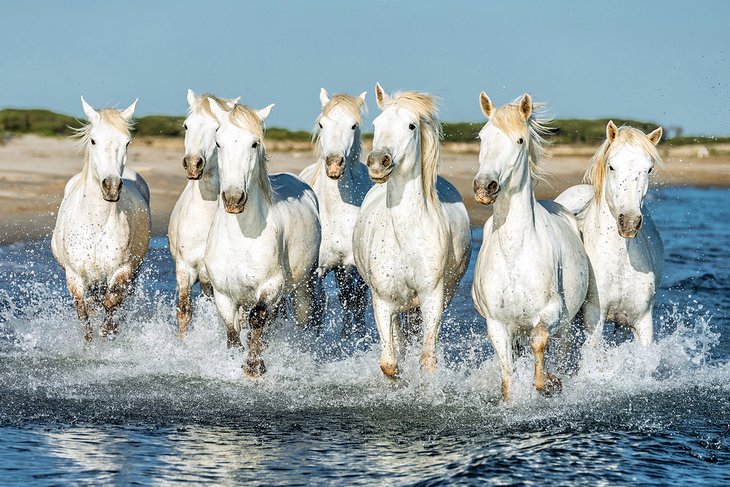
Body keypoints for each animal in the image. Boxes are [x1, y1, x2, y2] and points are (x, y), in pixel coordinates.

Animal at [298, 88, 372, 340]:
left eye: (353, 125)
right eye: (322, 124)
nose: (333, 164)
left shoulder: (352, 266)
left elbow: (353, 303)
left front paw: (352, 339)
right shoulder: (317, 271)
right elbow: (317, 307)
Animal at [354, 84, 472, 380]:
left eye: (411, 126)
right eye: (376, 124)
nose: (378, 163)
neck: (405, 236)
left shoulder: (432, 297)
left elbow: (427, 360)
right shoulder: (384, 301)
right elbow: (389, 362)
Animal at [470, 92, 588, 400]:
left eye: (520, 140)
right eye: (482, 136)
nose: (484, 187)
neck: (515, 252)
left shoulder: (550, 312)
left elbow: (540, 340)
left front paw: (548, 383)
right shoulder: (498, 324)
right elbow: (508, 377)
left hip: (567, 326)